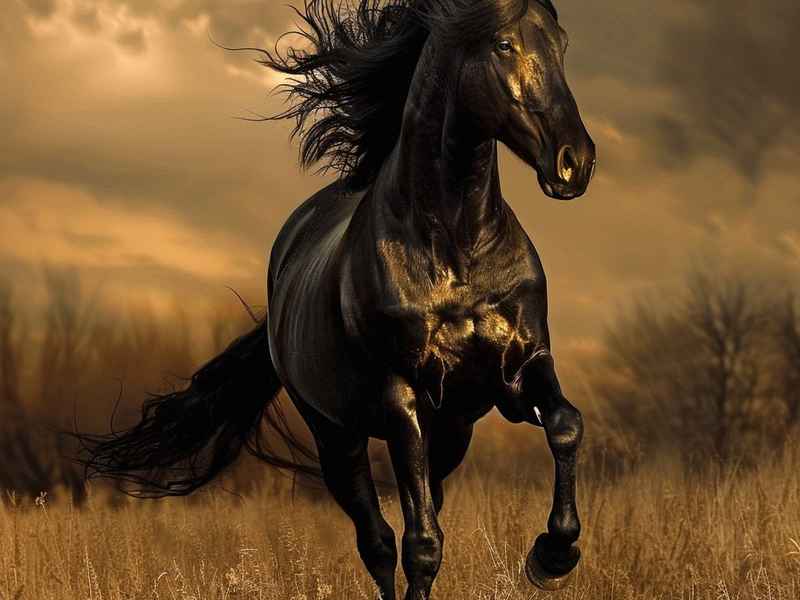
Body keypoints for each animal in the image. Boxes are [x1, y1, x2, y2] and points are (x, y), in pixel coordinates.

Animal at [77, 1, 596, 598]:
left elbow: (565, 424)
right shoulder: (401, 397)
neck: (457, 248)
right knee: (379, 541)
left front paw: (553, 555)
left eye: (561, 42)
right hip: (337, 437)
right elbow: (421, 544)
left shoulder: (518, 371)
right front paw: (548, 556)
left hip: (452, 431)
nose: (575, 162)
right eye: (503, 45)